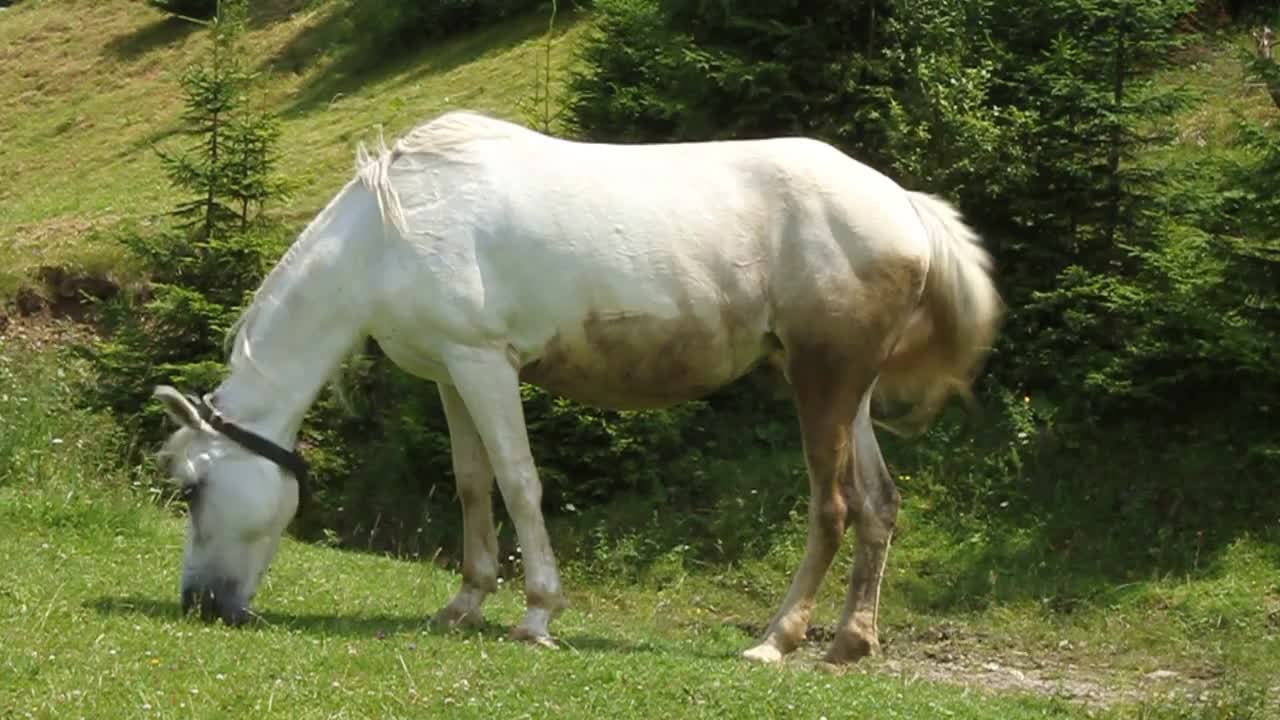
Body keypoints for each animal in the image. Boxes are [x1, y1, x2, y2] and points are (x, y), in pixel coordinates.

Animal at [154, 109, 1003, 666]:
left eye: (193, 489)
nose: (201, 606)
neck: (390, 232)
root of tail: (903, 206)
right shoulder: (453, 374)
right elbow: (471, 484)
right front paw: (465, 603)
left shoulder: (487, 368)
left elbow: (521, 484)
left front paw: (538, 615)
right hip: (845, 387)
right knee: (878, 505)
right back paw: (850, 643)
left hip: (821, 382)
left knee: (831, 508)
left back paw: (775, 640)